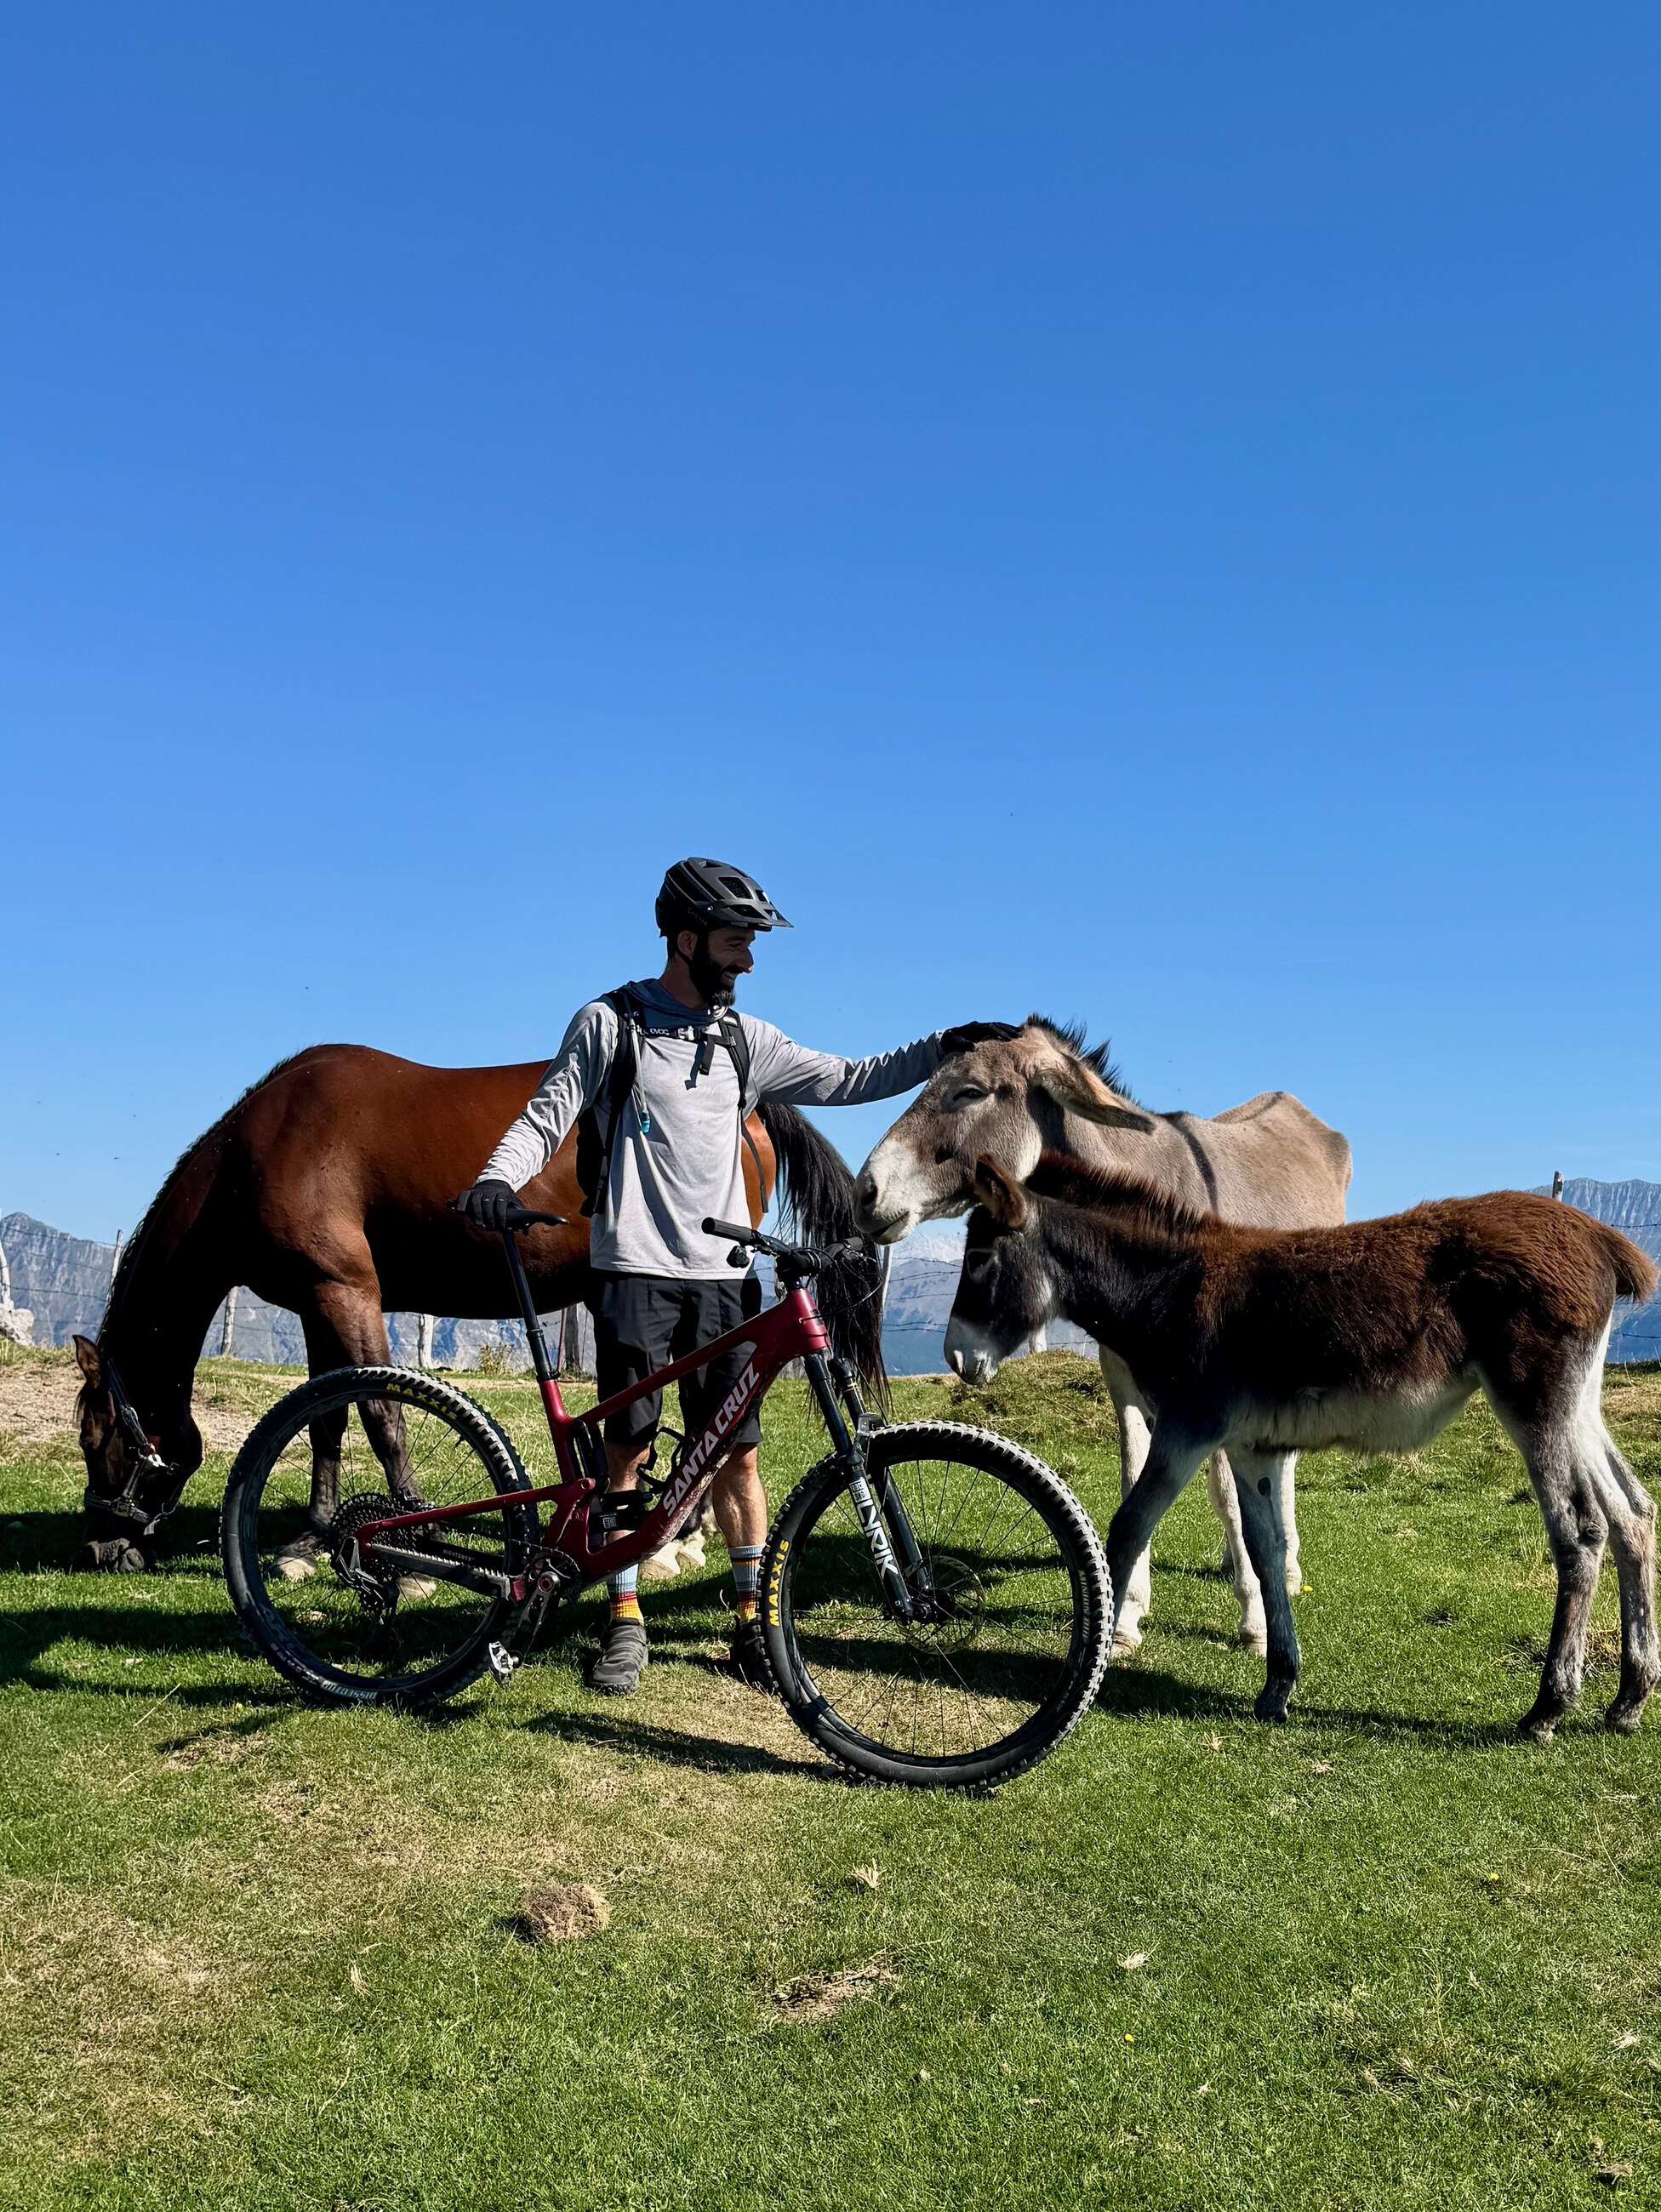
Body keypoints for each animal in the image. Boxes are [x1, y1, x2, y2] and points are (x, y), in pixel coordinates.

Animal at [72, 1044, 882, 1571]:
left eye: (91, 1437)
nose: (101, 1545)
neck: (258, 1150)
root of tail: (754, 1108)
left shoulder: (346, 1291)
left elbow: (381, 1415)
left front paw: (406, 1534)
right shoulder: (315, 1300)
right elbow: (327, 1419)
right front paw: (311, 1536)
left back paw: (677, 1537)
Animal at [852, 1018, 1351, 1651]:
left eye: (970, 1092)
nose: (864, 1194)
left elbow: (1226, 1492)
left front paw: (1256, 1618)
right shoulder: (1122, 1371)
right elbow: (1134, 1475)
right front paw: (1127, 1613)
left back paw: (1281, 1569)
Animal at [948, 1154, 1660, 1739]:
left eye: (980, 1259)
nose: (955, 1357)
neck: (1170, 1290)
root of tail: (1598, 1236)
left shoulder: (1186, 1429)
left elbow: (1126, 1530)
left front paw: (1094, 1661)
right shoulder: (1250, 1448)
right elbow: (1265, 1553)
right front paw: (1277, 1684)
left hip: (1533, 1402)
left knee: (1581, 1531)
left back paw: (1549, 1707)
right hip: (1576, 1405)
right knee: (1631, 1514)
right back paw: (1628, 1699)